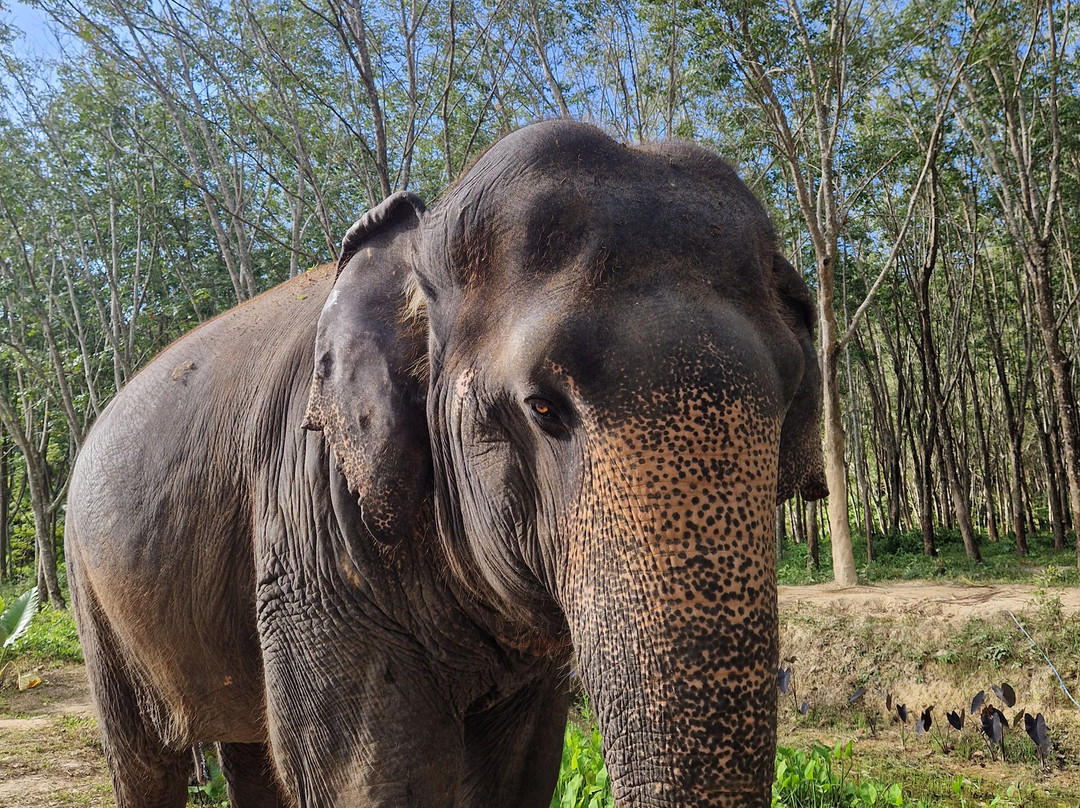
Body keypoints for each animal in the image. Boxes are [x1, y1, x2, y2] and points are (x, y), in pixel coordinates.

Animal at [66, 119, 827, 808]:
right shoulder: (317, 537)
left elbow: (517, 775)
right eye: (543, 409)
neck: (418, 244)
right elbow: (372, 781)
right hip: (91, 587)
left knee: (251, 754)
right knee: (143, 762)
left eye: (790, 397)